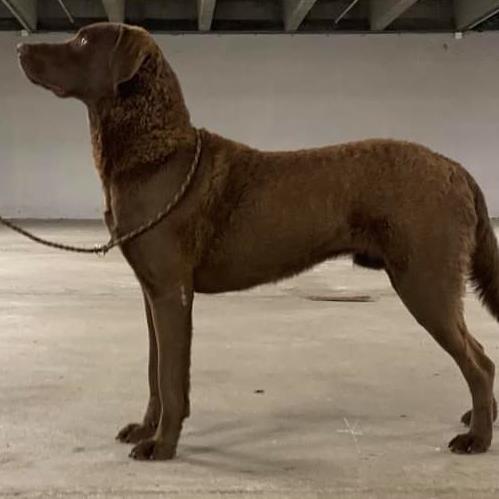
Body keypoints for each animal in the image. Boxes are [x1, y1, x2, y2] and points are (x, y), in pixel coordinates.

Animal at [17, 22, 499, 460]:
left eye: (82, 40)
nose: (21, 47)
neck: (157, 154)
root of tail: (455, 168)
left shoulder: (172, 292)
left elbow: (171, 379)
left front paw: (162, 445)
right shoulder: (151, 291)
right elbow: (155, 371)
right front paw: (145, 429)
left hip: (425, 280)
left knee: (478, 362)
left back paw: (476, 438)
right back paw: (482, 419)